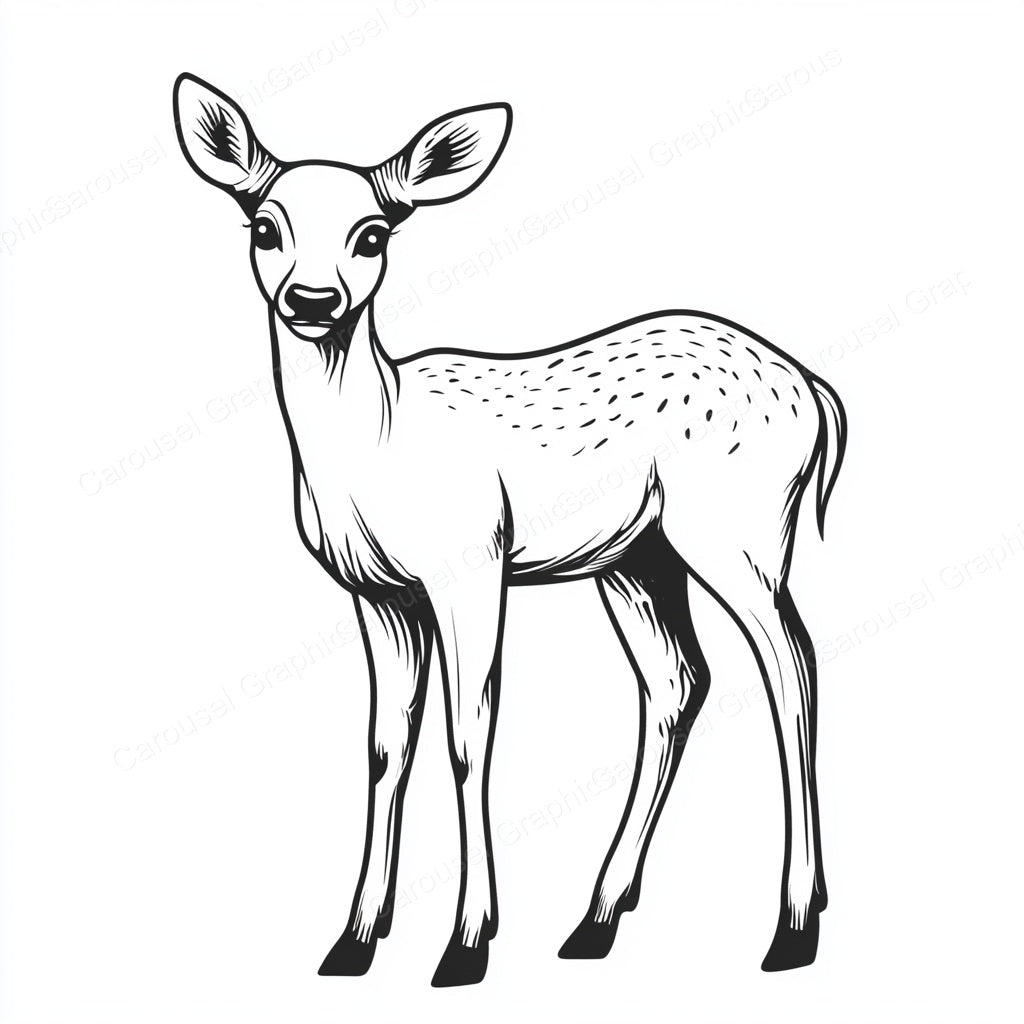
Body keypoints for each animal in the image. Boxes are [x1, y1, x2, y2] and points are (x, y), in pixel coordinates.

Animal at [173, 72, 847, 987]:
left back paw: (793, 926)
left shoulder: (472, 562)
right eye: (264, 226)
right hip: (637, 559)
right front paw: (354, 941)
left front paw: (466, 945)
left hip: (739, 530)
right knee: (679, 680)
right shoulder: (378, 594)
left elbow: (468, 737)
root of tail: (814, 389)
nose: (313, 301)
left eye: (373, 234)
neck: (375, 448)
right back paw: (597, 918)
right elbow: (386, 745)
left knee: (791, 664)